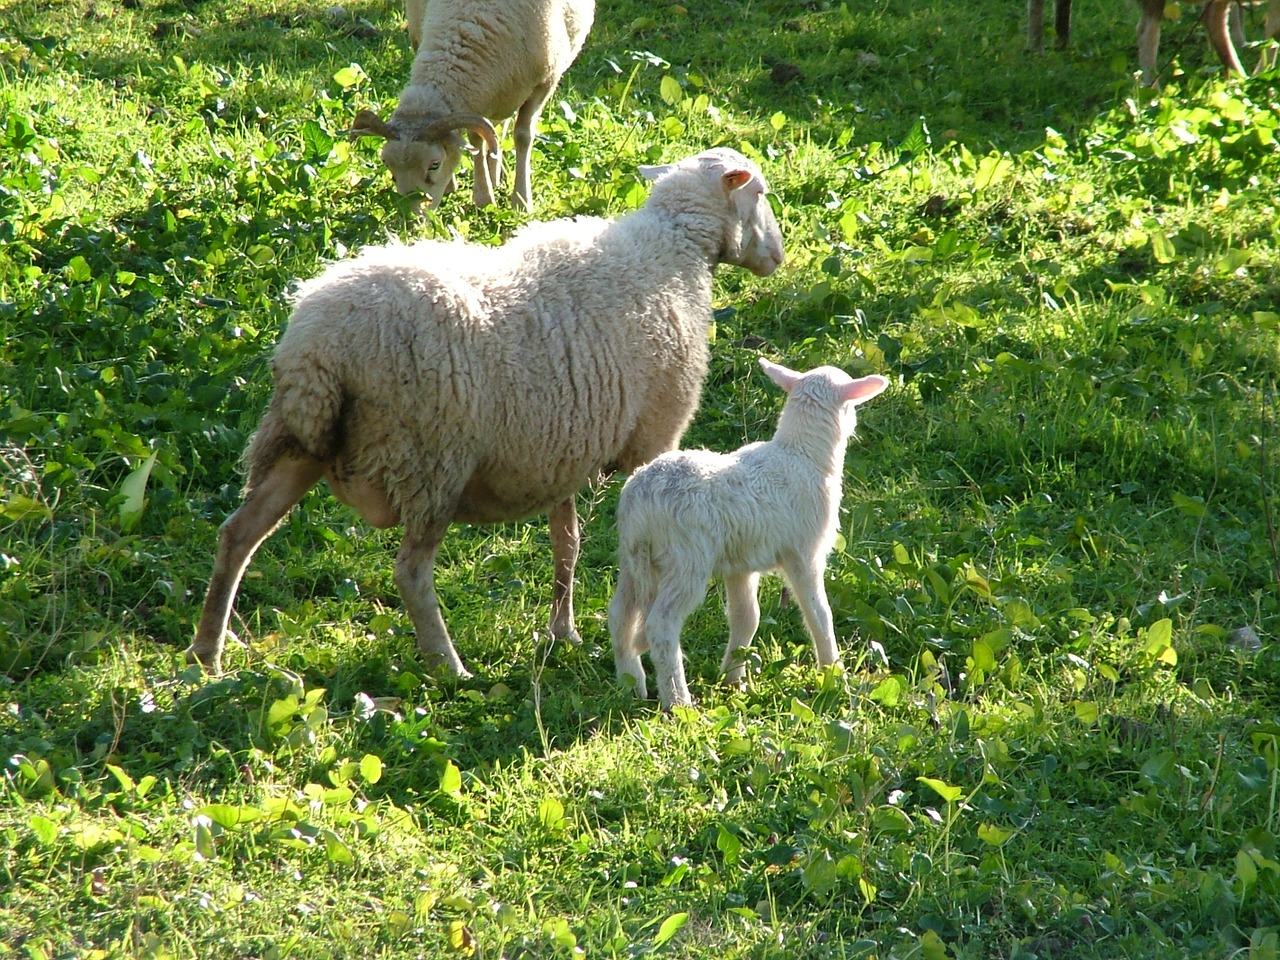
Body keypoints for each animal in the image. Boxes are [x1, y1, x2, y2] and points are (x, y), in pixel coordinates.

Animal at [186, 148, 788, 675]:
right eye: (759, 191)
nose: (779, 257)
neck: (673, 248)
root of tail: (319, 347)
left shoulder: (564, 444)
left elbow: (566, 543)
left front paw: (563, 632)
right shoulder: (652, 439)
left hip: (297, 441)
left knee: (238, 534)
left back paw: (206, 652)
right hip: (430, 460)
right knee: (410, 573)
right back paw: (449, 667)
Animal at [353, 0, 596, 212]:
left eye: (434, 164)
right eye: (387, 165)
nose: (410, 218)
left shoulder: (544, 84)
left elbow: (523, 136)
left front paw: (521, 201)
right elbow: (476, 140)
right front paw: (483, 197)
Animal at [604, 358, 885, 711]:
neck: (803, 454)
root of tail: (641, 501)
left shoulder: (740, 564)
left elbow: (746, 617)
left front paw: (732, 678)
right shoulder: (803, 552)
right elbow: (819, 614)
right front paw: (833, 674)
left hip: (632, 558)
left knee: (619, 616)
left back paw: (630, 684)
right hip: (685, 559)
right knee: (660, 625)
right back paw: (679, 701)